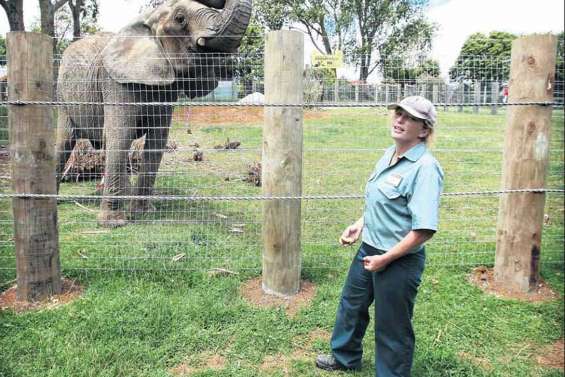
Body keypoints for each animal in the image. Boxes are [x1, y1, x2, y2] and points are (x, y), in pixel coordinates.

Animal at [56, 0, 252, 226]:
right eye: (180, 19)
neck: (148, 20)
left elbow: (157, 140)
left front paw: (143, 213)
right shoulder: (115, 82)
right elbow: (120, 135)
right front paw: (113, 224)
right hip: (63, 96)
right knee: (64, 142)